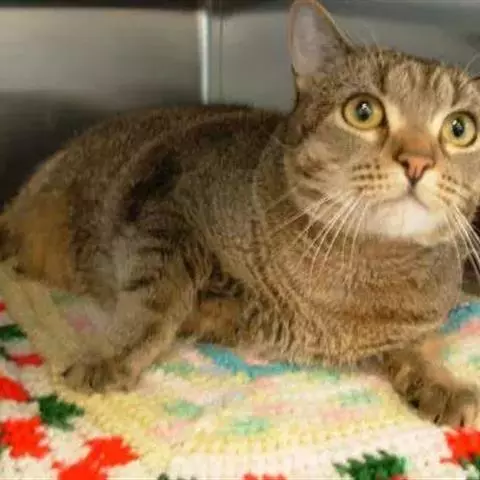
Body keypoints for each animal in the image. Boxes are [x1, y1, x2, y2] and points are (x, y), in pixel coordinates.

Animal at [1, 0, 480, 427]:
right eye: (363, 111)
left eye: (460, 128)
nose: (418, 162)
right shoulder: (168, 206)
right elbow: (156, 300)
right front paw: (111, 355)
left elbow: (418, 345)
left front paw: (440, 380)